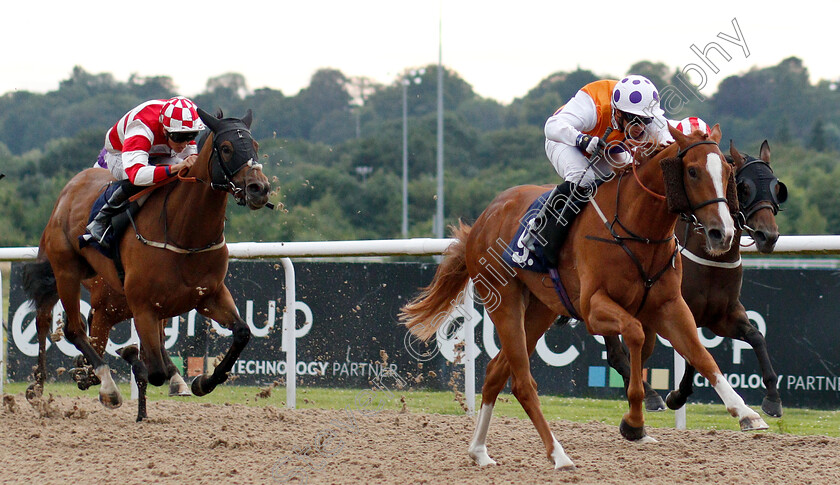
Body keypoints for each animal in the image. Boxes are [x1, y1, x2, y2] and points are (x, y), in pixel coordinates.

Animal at [21, 108, 270, 420]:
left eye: (256, 145)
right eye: (226, 148)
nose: (259, 188)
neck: (184, 232)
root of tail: (69, 188)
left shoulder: (208, 295)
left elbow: (242, 333)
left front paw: (203, 381)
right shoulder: (143, 308)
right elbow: (155, 371)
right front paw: (120, 365)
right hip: (65, 270)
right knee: (68, 327)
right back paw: (93, 385)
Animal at [400, 125, 768, 468]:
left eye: (728, 172)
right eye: (692, 171)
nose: (722, 233)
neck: (637, 228)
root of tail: (482, 220)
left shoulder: (670, 306)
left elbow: (701, 355)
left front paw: (747, 412)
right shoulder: (593, 308)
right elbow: (635, 335)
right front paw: (635, 421)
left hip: (540, 310)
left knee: (495, 373)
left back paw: (479, 451)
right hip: (503, 300)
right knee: (522, 382)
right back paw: (558, 454)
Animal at [604, 137, 788, 416]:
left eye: (776, 187)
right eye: (744, 187)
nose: (768, 236)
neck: (712, 259)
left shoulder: (722, 315)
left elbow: (756, 337)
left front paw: (773, 398)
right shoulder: (680, 311)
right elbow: (693, 353)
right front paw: (677, 395)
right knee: (618, 354)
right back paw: (650, 395)